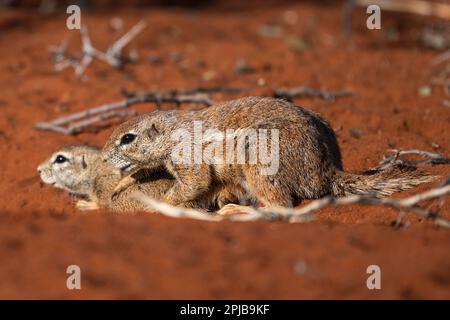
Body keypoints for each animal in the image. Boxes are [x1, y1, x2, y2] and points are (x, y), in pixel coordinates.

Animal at [103, 96, 436, 209]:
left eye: (127, 138)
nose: (105, 157)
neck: (174, 130)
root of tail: (325, 171)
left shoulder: (188, 157)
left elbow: (193, 184)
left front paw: (162, 204)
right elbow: (146, 169)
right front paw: (122, 183)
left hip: (259, 156)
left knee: (281, 206)